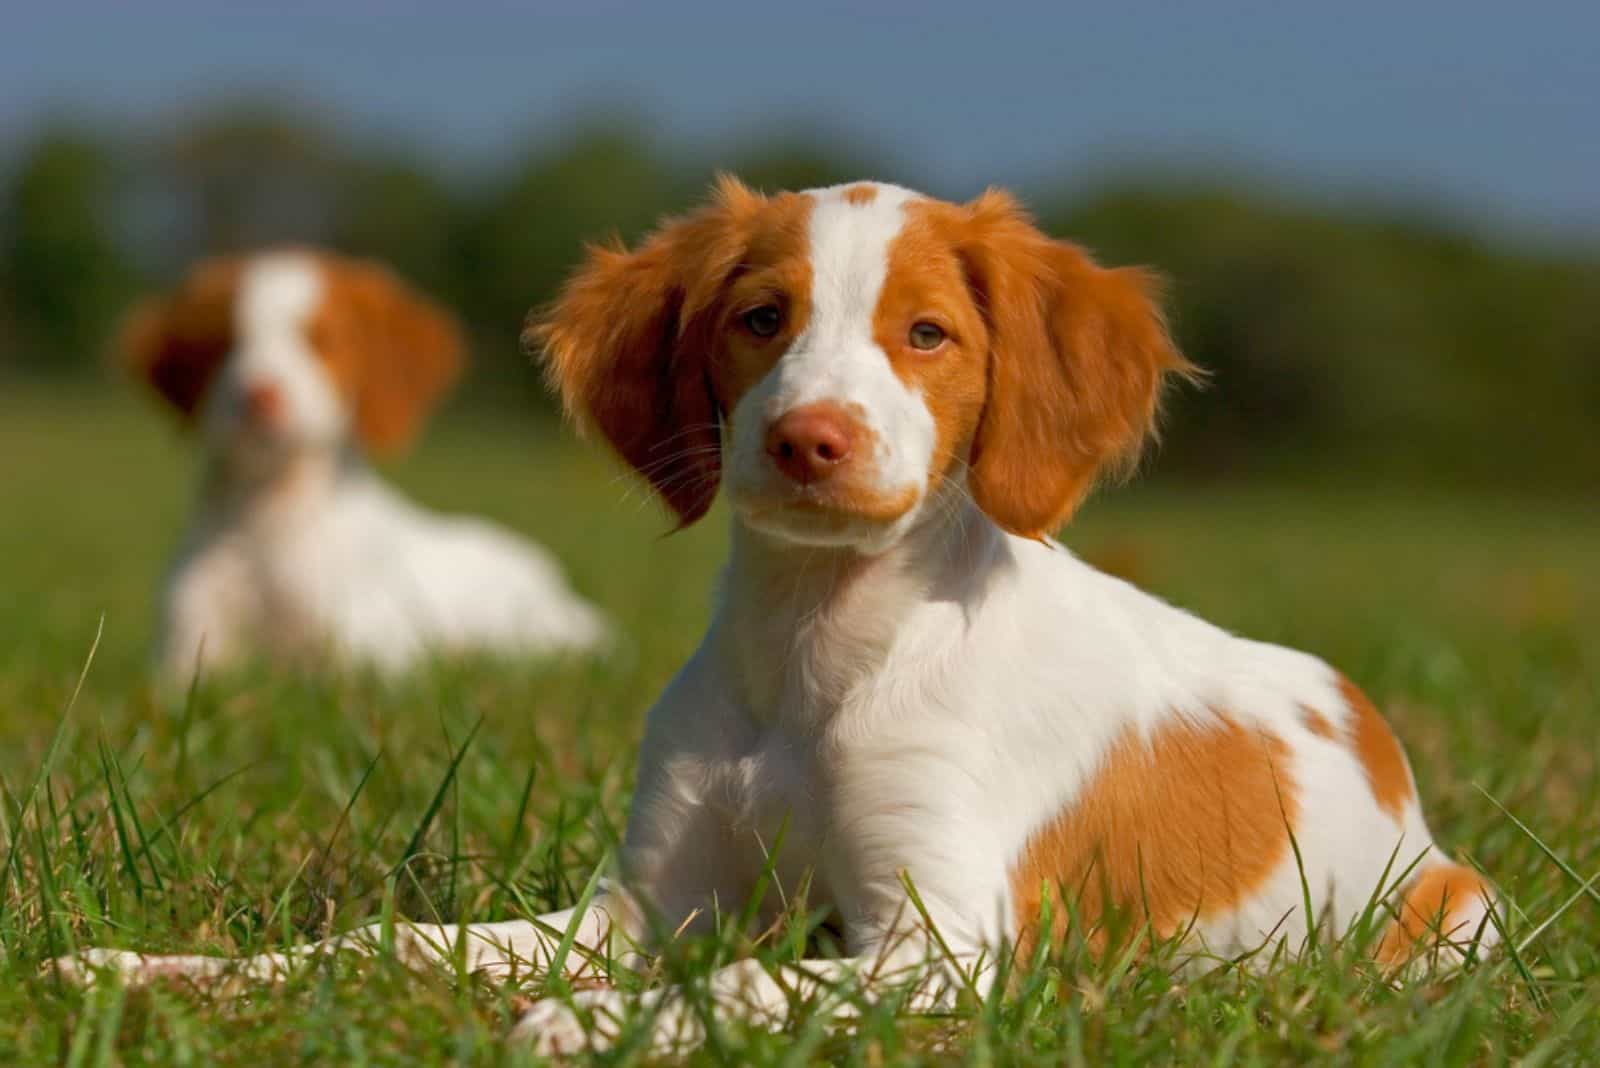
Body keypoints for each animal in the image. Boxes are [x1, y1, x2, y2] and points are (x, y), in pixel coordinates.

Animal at [124, 251, 608, 681]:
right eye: (223, 342)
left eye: (322, 341)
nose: (259, 396)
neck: (270, 520)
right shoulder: (187, 642)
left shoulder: (359, 649)